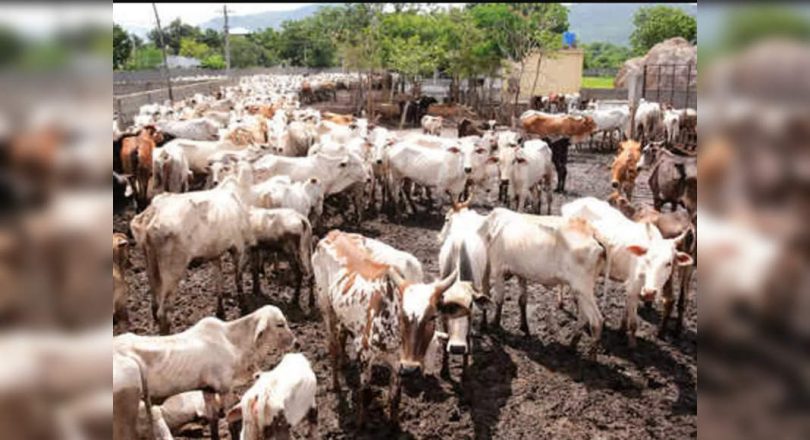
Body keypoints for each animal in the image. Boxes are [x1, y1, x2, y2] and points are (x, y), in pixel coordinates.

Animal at [113, 305, 295, 440]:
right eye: (280, 324)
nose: (294, 341)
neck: (232, 341)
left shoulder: (208, 390)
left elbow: (213, 421)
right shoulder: (224, 389)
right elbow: (232, 423)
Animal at [312, 230, 463, 427]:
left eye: (432, 316)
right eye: (402, 313)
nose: (413, 369)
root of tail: (333, 233)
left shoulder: (398, 363)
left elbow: (395, 397)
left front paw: (394, 425)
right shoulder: (365, 355)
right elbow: (365, 394)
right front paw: (361, 424)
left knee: (342, 335)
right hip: (325, 306)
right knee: (333, 346)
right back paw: (336, 384)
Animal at [477, 208, 606, 355]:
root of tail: (593, 235)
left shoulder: (498, 269)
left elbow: (499, 300)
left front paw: (495, 325)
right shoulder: (521, 273)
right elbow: (522, 300)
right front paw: (524, 328)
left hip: (582, 287)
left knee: (596, 321)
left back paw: (591, 357)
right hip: (581, 290)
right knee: (584, 317)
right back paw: (571, 346)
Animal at [561, 197, 693, 347]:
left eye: (669, 263)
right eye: (647, 259)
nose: (649, 292)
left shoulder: (631, 287)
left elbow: (627, 308)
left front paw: (622, 329)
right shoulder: (633, 286)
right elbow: (634, 323)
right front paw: (632, 345)